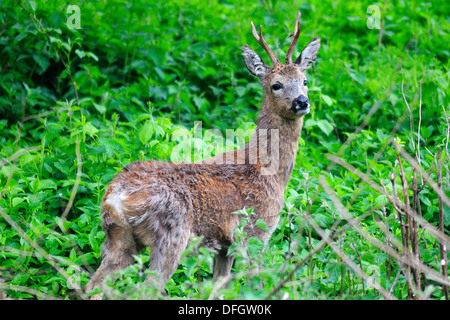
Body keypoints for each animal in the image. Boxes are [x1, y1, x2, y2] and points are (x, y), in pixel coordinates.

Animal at [86, 11, 320, 298]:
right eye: (276, 85)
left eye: (305, 81)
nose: (301, 101)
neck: (268, 170)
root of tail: (115, 196)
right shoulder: (255, 232)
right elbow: (255, 283)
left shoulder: (224, 246)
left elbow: (217, 287)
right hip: (170, 235)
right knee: (146, 289)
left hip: (118, 238)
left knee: (93, 285)